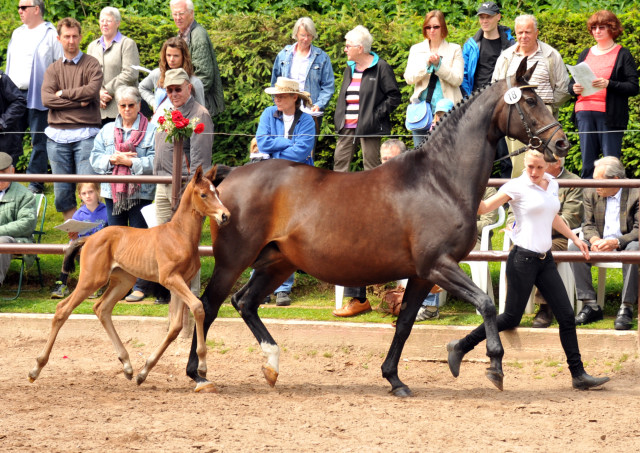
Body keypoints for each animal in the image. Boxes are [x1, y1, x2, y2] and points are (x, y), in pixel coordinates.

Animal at [30, 164, 230, 390]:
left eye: (217, 192)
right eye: (204, 194)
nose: (225, 215)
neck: (179, 235)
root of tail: (89, 237)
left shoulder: (182, 281)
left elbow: (176, 326)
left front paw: (144, 372)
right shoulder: (170, 279)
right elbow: (197, 307)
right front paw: (202, 368)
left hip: (123, 281)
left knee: (101, 308)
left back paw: (127, 365)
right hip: (92, 279)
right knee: (62, 309)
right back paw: (36, 369)